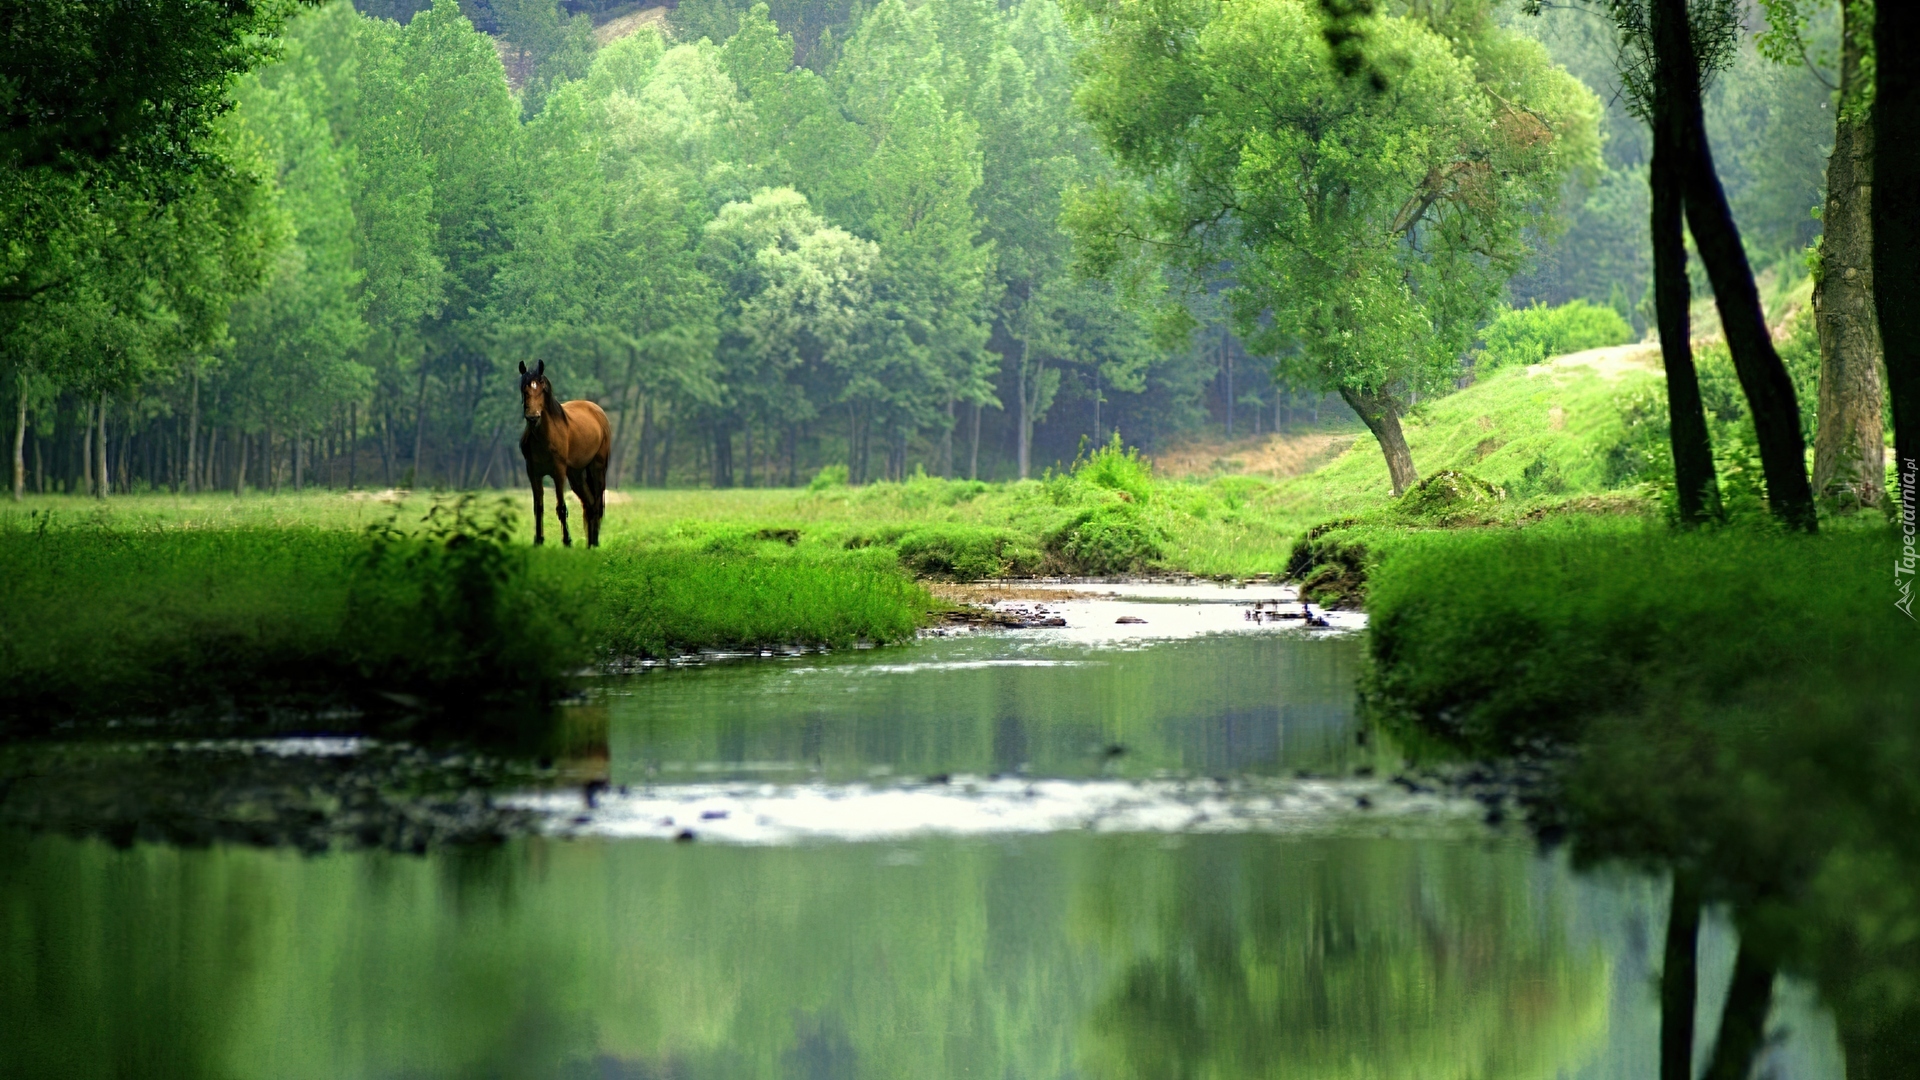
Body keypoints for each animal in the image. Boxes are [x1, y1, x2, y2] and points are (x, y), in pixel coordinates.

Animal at [518, 361, 606, 545]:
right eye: (524, 389)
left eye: (542, 389)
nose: (533, 417)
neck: (544, 437)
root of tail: (597, 409)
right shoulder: (533, 473)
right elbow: (538, 507)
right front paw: (538, 540)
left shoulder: (558, 472)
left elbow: (561, 507)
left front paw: (567, 541)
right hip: (576, 474)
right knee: (589, 503)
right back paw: (589, 543)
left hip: (597, 468)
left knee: (597, 503)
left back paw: (594, 542)